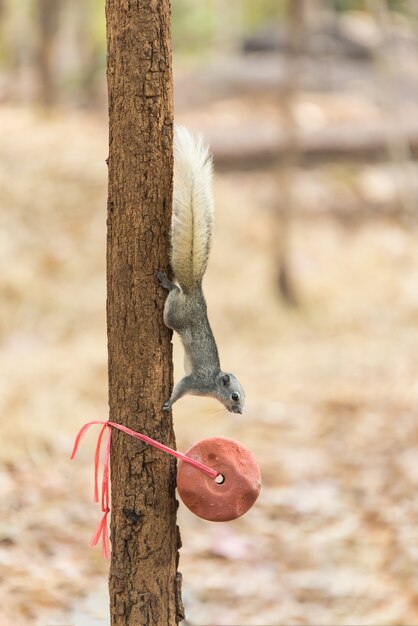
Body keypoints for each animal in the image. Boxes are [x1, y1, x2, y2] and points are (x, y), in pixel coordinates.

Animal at [159, 124, 245, 412]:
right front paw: (169, 403)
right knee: (173, 297)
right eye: (235, 396)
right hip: (174, 315)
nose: (240, 411)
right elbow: (180, 388)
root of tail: (194, 290)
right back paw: (168, 283)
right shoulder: (195, 381)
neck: (213, 384)